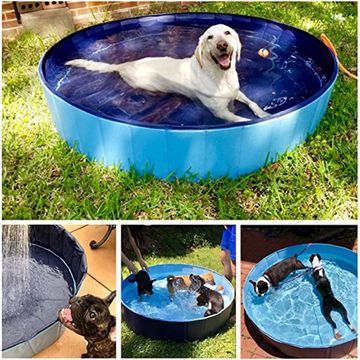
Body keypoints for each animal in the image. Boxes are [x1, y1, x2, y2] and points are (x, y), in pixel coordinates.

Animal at [66, 24, 268, 122]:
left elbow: (253, 102)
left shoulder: (236, 92)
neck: (220, 76)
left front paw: (264, 114)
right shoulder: (220, 113)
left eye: (227, 33)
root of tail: (124, 65)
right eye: (210, 37)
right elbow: (241, 120)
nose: (222, 45)